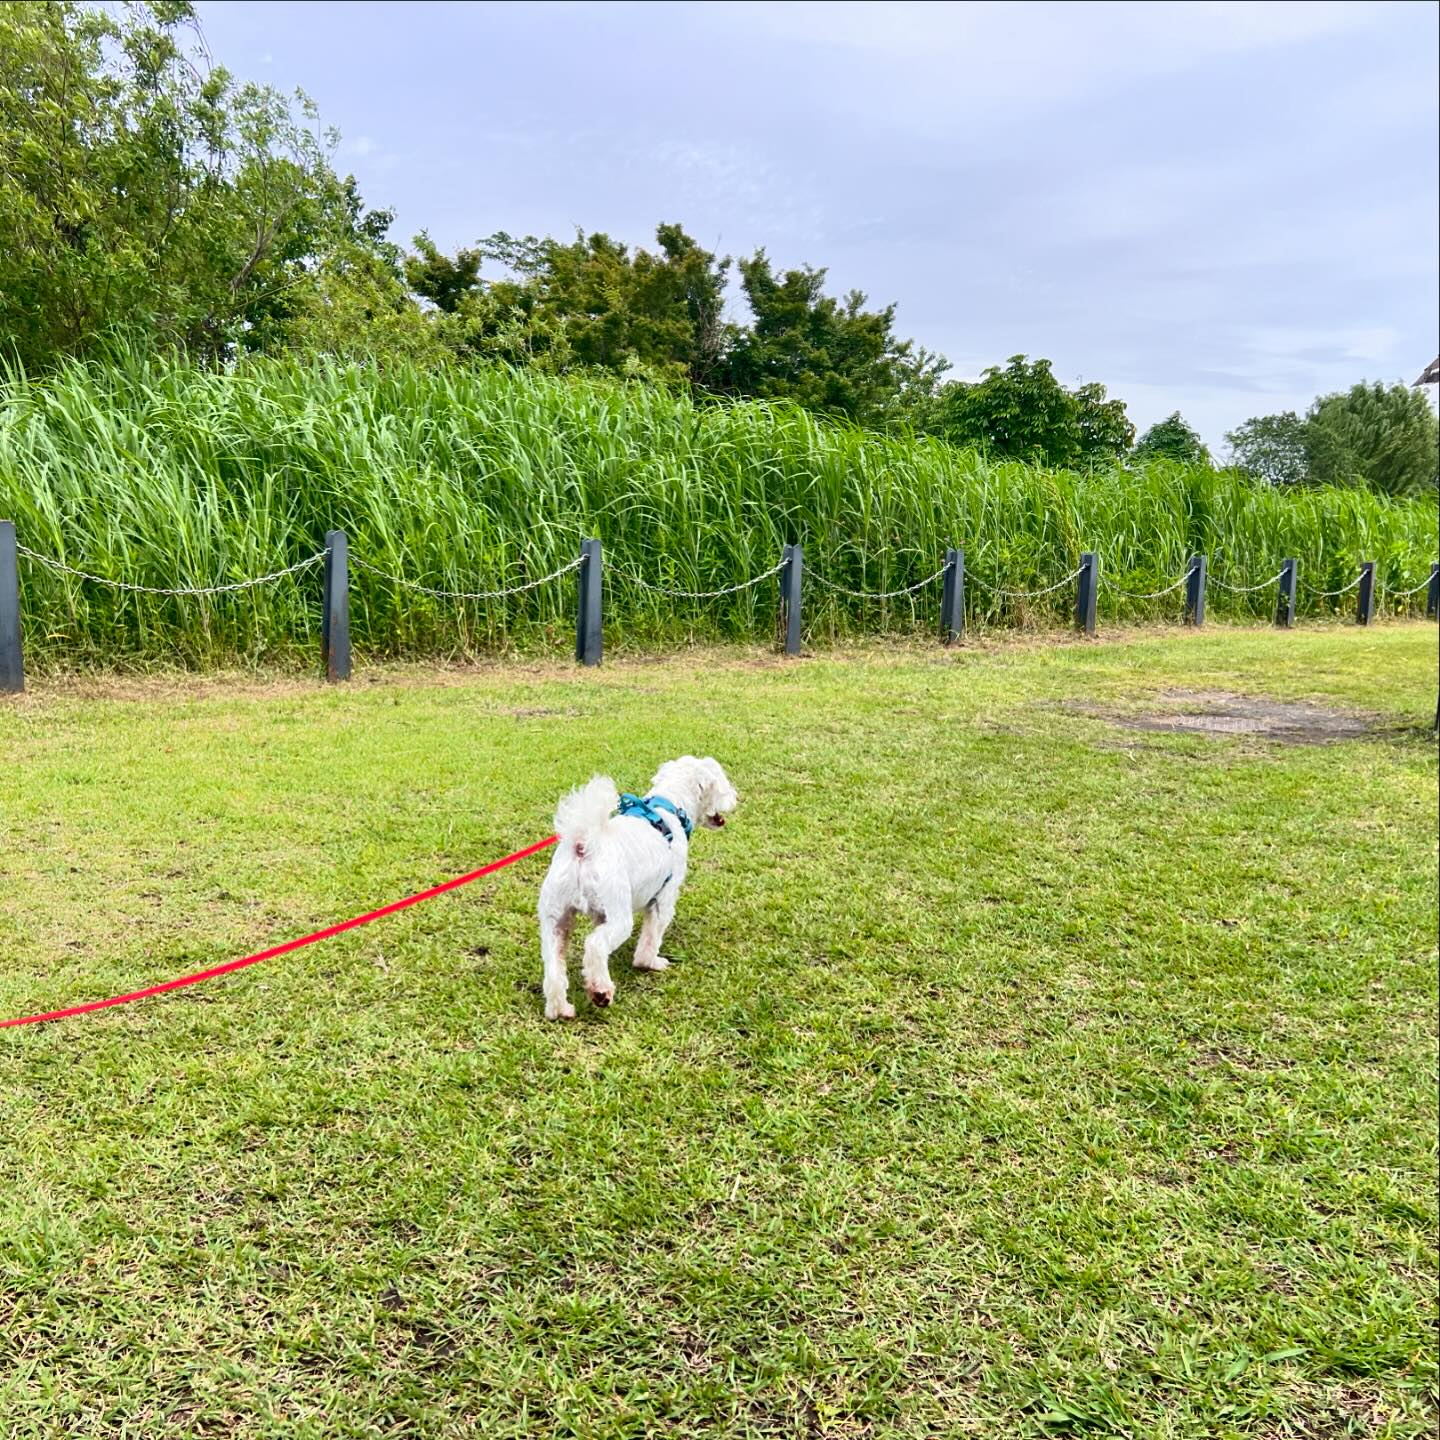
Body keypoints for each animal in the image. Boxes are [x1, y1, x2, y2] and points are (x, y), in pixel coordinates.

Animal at [541, 760, 743, 1019]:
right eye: (724, 785)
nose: (735, 797)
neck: (670, 807)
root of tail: (583, 846)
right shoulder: (664, 899)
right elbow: (651, 937)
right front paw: (650, 963)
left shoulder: (601, 916)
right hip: (619, 913)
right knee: (595, 945)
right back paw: (601, 991)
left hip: (555, 918)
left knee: (554, 965)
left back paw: (560, 1008)